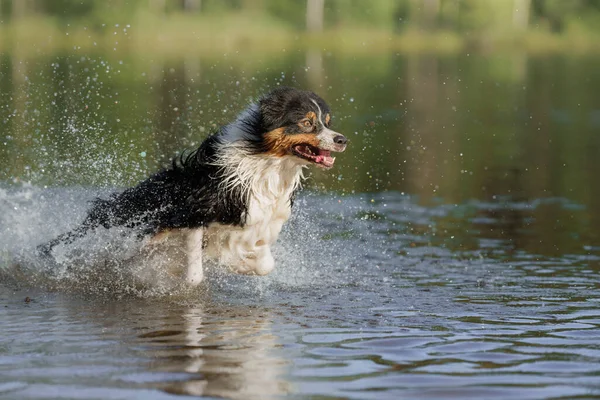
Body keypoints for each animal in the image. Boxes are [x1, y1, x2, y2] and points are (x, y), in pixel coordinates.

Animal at [37, 86, 346, 284]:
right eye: (307, 123)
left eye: (328, 122)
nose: (342, 139)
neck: (266, 166)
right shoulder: (193, 213)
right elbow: (196, 275)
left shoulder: (259, 225)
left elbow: (264, 264)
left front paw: (239, 264)